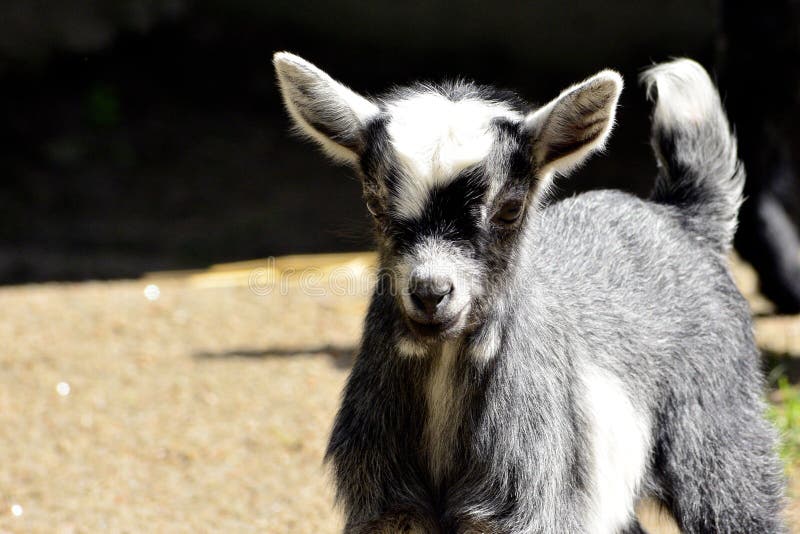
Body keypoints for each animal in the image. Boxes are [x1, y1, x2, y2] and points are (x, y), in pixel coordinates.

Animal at [274, 52, 785, 533]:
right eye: (375, 203)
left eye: (511, 209)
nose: (431, 292)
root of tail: (681, 216)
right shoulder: (390, 511)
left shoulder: (528, 511)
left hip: (719, 428)